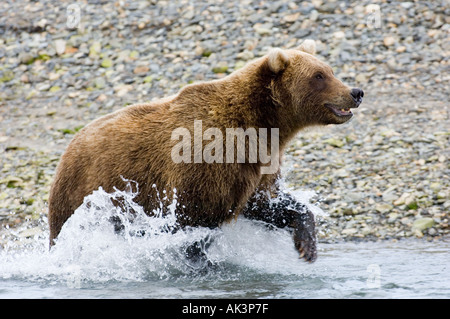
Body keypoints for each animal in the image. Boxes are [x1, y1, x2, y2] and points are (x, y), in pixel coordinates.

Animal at [48, 40, 362, 262]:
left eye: (330, 70)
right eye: (319, 76)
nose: (355, 92)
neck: (261, 125)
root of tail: (69, 146)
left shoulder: (257, 164)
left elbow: (266, 202)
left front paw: (307, 244)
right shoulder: (207, 161)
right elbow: (195, 221)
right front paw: (200, 261)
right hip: (83, 192)